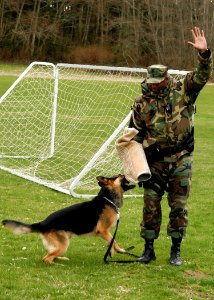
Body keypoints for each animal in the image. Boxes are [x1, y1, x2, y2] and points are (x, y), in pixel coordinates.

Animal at [1, 173, 135, 264]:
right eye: (119, 176)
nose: (125, 173)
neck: (109, 199)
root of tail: (42, 223)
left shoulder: (105, 232)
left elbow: (110, 242)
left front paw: (111, 252)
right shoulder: (103, 230)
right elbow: (114, 241)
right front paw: (120, 250)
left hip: (63, 241)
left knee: (50, 254)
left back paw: (61, 258)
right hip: (64, 243)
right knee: (46, 258)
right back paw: (58, 264)